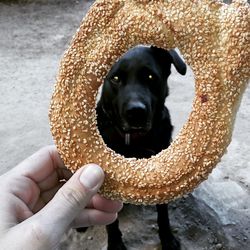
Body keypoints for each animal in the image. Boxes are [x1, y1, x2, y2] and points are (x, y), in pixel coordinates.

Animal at [79, 46, 187, 249]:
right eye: (115, 78)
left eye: (151, 77)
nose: (136, 113)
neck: (132, 139)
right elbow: (111, 221)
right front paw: (115, 244)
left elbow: (163, 214)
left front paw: (167, 239)